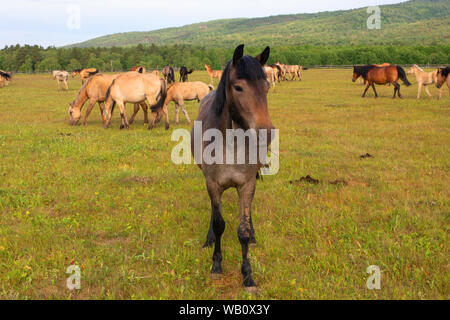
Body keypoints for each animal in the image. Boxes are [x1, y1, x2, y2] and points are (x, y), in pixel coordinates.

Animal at [191, 43, 274, 292]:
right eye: (238, 87)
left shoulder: (246, 184)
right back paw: (208, 238)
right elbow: (219, 224)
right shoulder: (213, 184)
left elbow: (243, 230)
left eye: (266, 86)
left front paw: (247, 274)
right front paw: (216, 265)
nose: (267, 134)